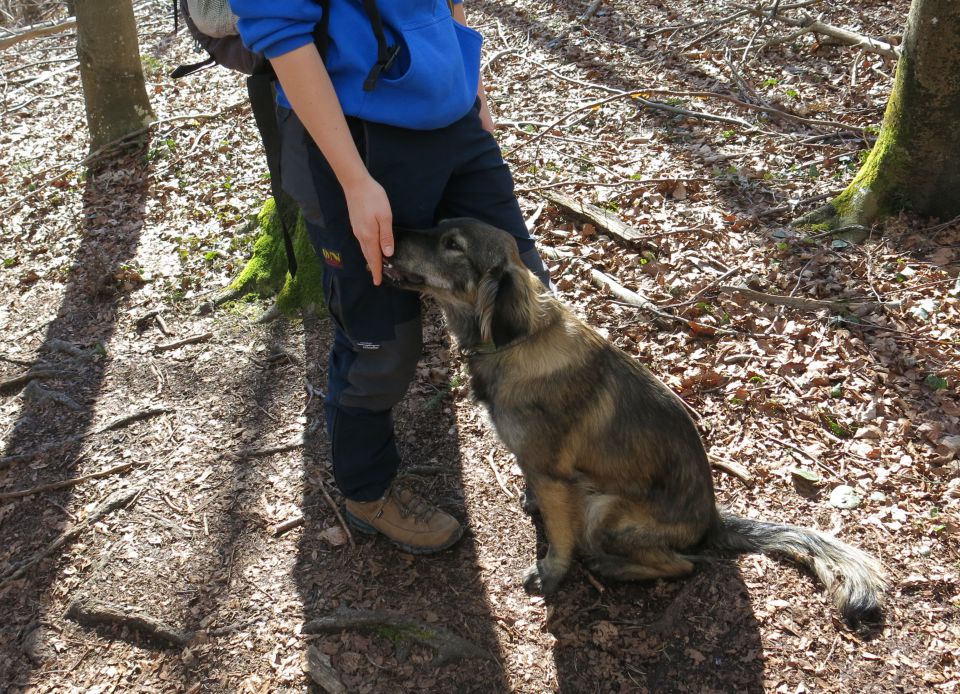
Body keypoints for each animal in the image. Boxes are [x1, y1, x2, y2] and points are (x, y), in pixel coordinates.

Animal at [382, 219, 884, 632]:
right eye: (438, 225)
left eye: (452, 244)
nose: (392, 232)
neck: (519, 341)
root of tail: (712, 519)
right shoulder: (540, 469)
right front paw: (531, 506)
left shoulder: (554, 477)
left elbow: (559, 537)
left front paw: (551, 573)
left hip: (604, 512)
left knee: (682, 565)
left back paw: (616, 568)